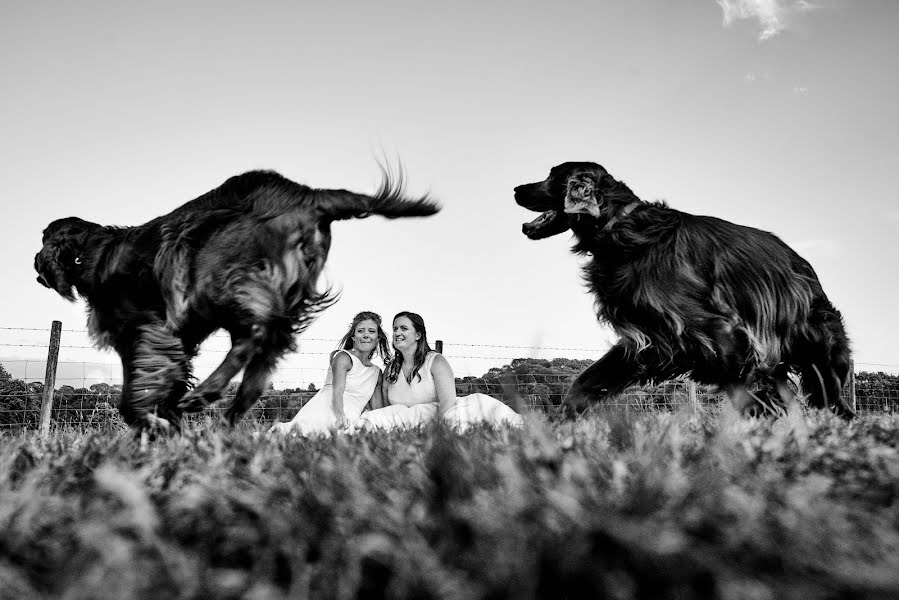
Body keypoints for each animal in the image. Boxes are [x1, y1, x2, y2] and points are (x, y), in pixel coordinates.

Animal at [516, 162, 856, 420]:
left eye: (551, 176)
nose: (515, 189)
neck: (623, 229)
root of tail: (805, 267)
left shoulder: (721, 332)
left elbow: (750, 397)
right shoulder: (648, 341)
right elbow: (583, 384)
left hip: (821, 354)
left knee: (836, 406)